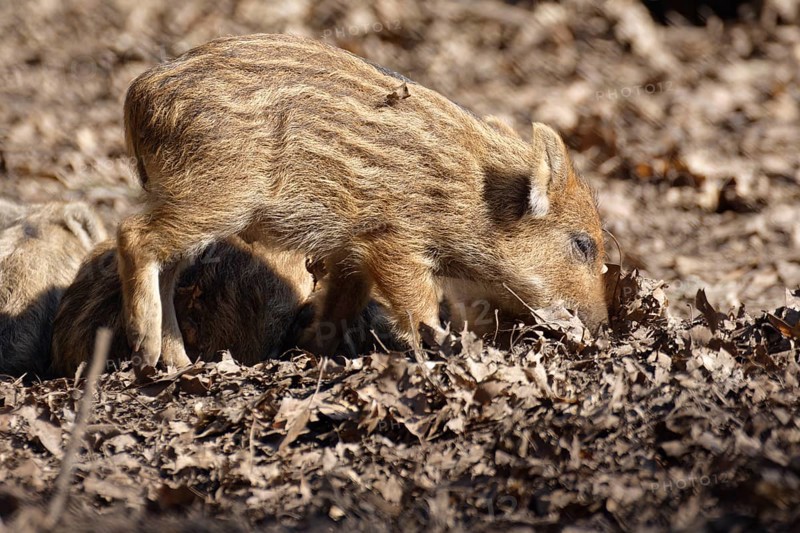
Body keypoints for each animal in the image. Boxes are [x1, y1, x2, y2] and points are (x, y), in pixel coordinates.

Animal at [117, 33, 607, 364]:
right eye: (583, 244)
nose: (602, 325)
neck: (472, 198)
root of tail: (138, 95)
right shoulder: (393, 241)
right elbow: (416, 304)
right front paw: (441, 350)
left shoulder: (352, 250)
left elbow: (341, 303)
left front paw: (315, 352)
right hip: (217, 195)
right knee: (132, 233)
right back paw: (144, 348)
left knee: (170, 267)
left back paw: (175, 363)